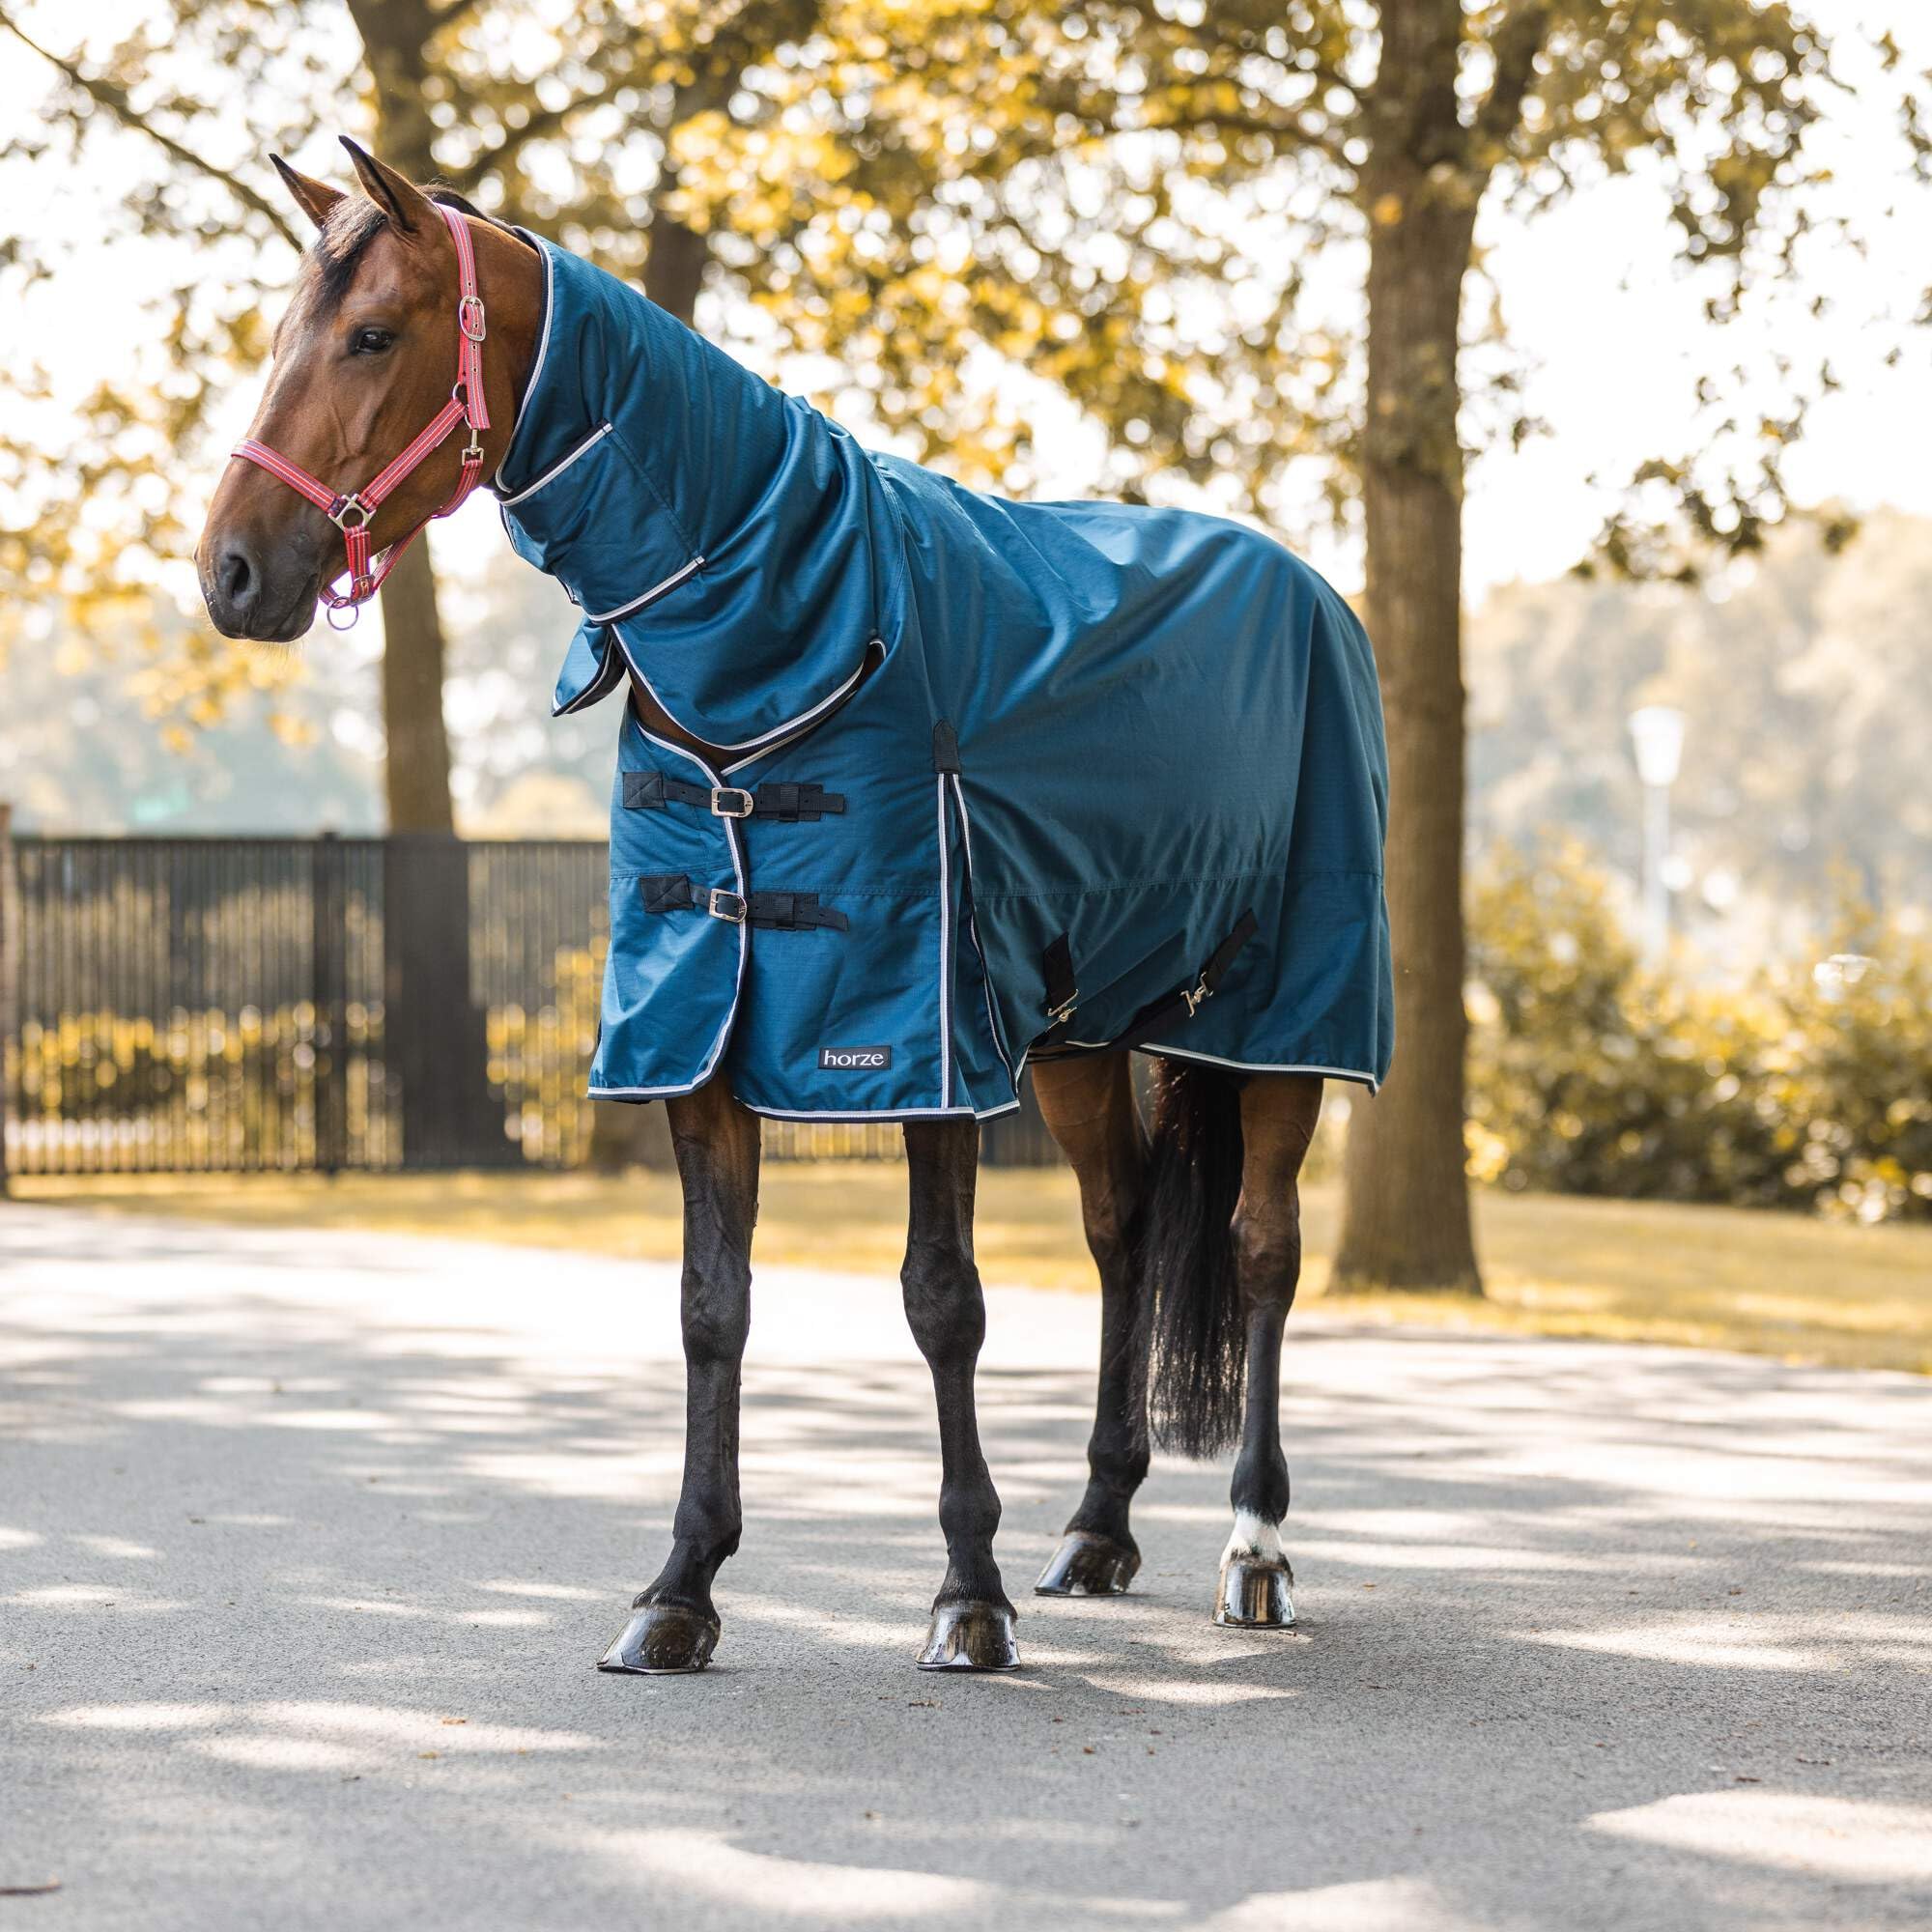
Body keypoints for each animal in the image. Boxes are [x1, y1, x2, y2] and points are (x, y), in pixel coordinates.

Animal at [197, 139, 1392, 1675]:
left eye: (371, 334)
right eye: (286, 330)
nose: (231, 570)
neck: (801, 629)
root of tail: (1308, 586)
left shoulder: (921, 1040)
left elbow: (944, 1302)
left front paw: (965, 1598)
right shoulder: (701, 1033)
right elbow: (714, 1308)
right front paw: (678, 1592)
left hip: (1278, 1026)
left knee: (1259, 1253)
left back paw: (1253, 1549)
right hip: (1081, 1034)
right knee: (1122, 1232)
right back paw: (1096, 1530)